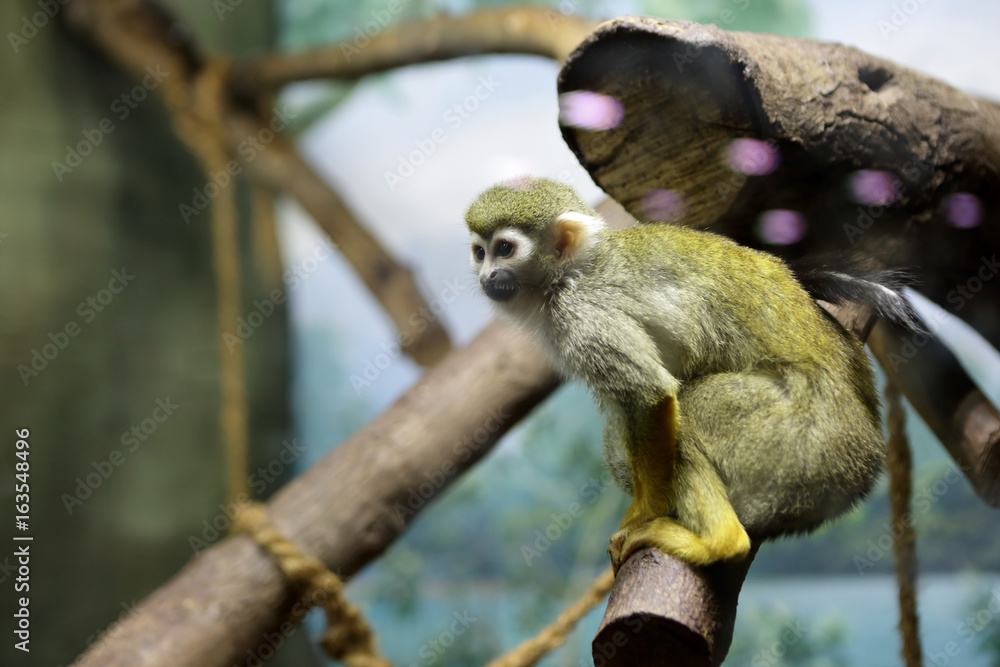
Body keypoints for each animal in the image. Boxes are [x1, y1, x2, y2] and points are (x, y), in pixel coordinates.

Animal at [465, 176, 915, 571]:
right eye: (480, 252)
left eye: (505, 248)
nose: (487, 276)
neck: (567, 274)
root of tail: (867, 454)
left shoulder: (583, 314)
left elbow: (650, 395)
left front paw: (641, 514)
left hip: (802, 438)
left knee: (693, 410)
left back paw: (720, 543)